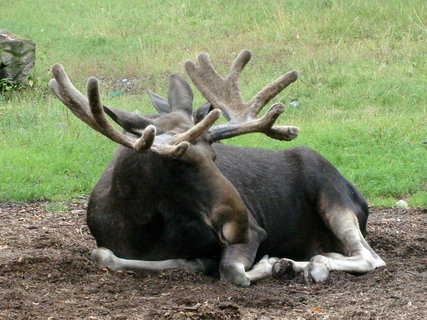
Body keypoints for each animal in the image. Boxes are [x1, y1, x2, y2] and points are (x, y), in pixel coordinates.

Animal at [48, 50, 386, 288]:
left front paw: (266, 264)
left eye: (214, 154)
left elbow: (233, 271)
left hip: (334, 200)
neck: (137, 224)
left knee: (370, 258)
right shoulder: (111, 246)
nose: (240, 223)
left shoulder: (256, 234)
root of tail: (359, 196)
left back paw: (303, 264)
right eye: (177, 160)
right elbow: (106, 256)